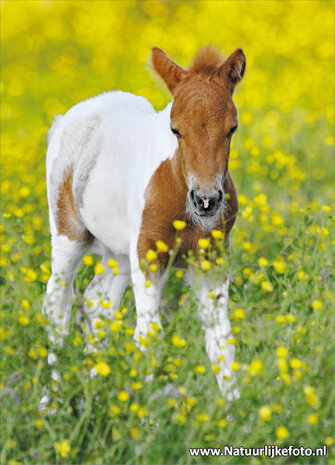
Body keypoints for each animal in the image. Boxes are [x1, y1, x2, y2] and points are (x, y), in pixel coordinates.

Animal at [42, 46, 247, 398]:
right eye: (175, 129)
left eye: (232, 128)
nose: (206, 200)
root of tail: (68, 118)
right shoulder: (149, 253)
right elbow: (149, 338)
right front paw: (146, 412)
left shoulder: (212, 259)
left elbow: (222, 341)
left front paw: (235, 409)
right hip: (70, 236)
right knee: (57, 304)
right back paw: (51, 401)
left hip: (120, 252)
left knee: (97, 303)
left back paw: (96, 388)